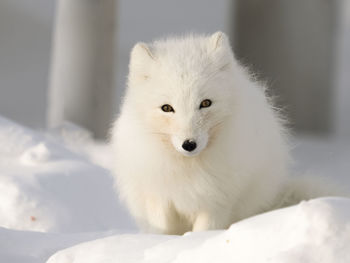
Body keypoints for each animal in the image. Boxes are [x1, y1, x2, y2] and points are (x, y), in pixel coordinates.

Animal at [111, 31, 340, 235]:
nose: (189, 144)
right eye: (167, 108)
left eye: (205, 103)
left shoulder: (217, 203)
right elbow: (162, 231)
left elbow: (204, 232)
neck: (189, 169)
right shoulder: (158, 198)